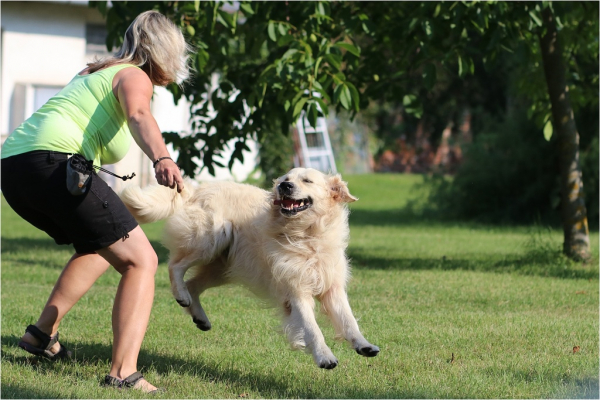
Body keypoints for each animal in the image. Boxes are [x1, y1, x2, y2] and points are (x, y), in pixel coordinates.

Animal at [119, 167, 378, 368]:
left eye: (307, 180)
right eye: (286, 177)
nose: (283, 186)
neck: (307, 236)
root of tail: (197, 190)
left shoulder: (333, 287)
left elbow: (348, 319)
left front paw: (364, 345)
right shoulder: (296, 291)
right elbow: (313, 328)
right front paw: (325, 357)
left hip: (224, 267)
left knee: (193, 284)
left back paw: (200, 316)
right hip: (210, 239)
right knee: (175, 266)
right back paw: (181, 295)